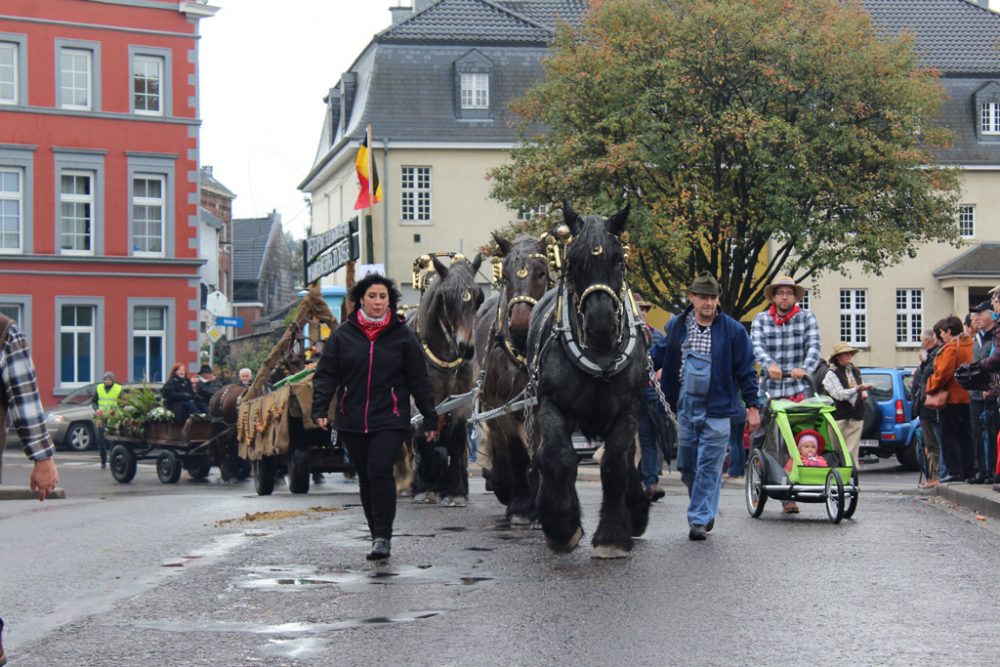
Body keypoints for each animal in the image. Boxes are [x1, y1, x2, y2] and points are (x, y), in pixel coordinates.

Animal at [406, 256, 484, 506]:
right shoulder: (419, 401)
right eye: (446, 297)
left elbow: (457, 438)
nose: (466, 348)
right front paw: (427, 484)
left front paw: (455, 490)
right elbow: (422, 437)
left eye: (478, 297)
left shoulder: (462, 400)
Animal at [474, 232, 552, 524]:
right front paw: (520, 506)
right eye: (506, 276)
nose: (520, 324)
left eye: (541, 273)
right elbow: (517, 452)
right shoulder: (501, 406)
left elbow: (540, 453)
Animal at [524, 202, 648, 560]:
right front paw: (562, 526)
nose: (601, 325)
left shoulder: (628, 410)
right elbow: (558, 458)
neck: (601, 357)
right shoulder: (552, 406)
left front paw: (612, 536)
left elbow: (616, 465)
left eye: (618, 259)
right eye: (574, 261)